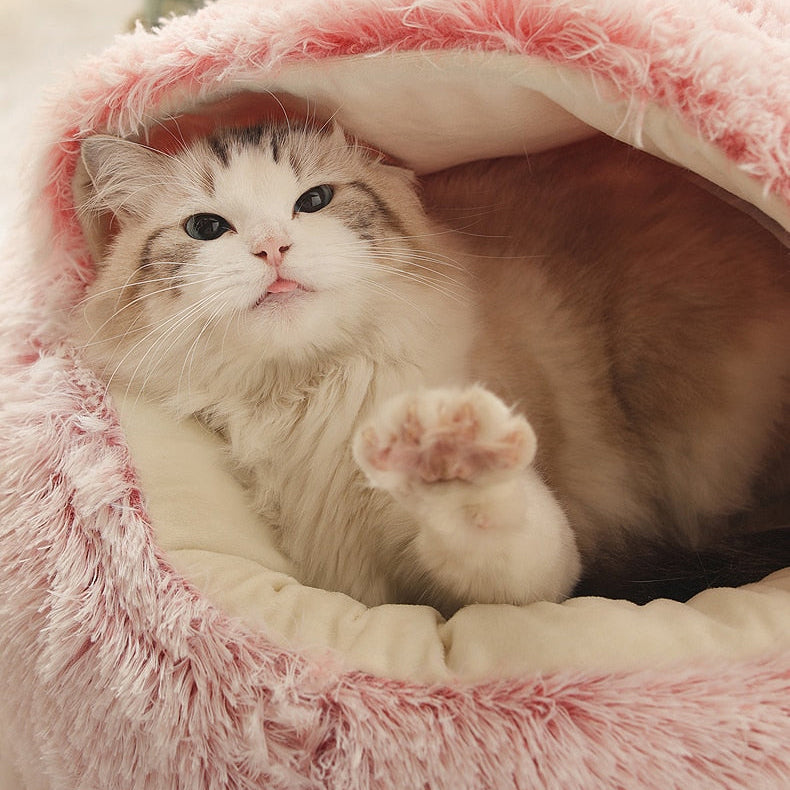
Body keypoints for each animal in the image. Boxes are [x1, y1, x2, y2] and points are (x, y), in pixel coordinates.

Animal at [71, 120, 788, 616]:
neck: (307, 394)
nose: (272, 248)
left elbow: (499, 533)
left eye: (315, 200)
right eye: (206, 228)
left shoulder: (524, 575)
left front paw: (449, 450)